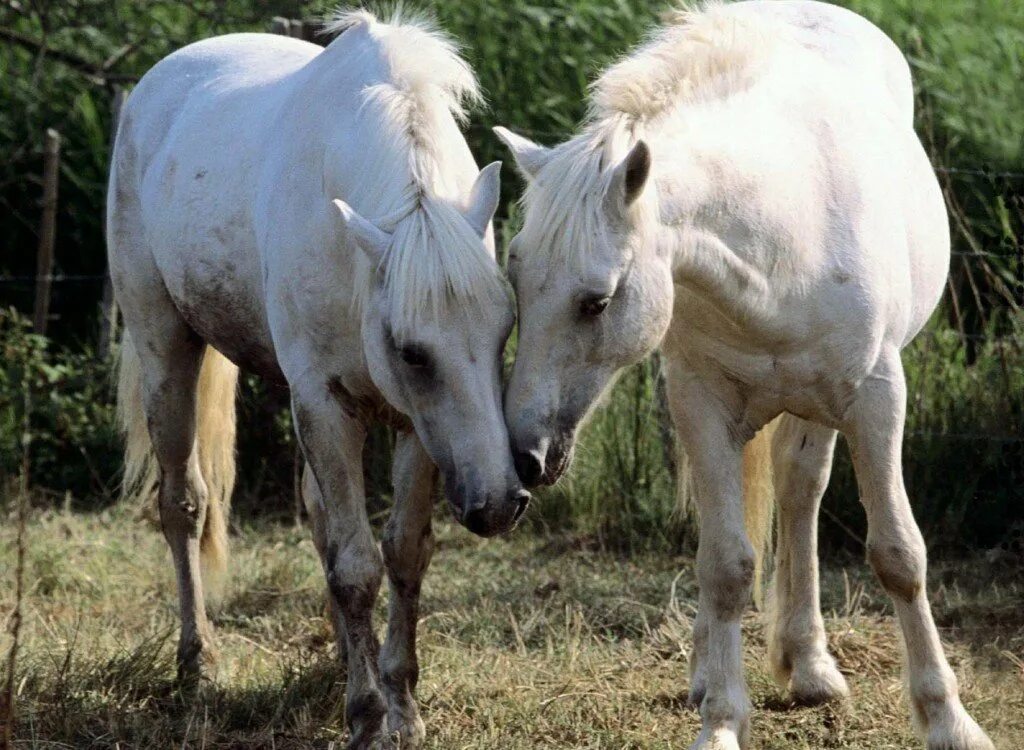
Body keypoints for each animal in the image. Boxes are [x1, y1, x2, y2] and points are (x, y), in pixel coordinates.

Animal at [110, 11, 528, 750]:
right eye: (412, 352)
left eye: (504, 329)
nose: (501, 502)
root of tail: (155, 87)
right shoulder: (328, 405)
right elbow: (356, 566)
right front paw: (367, 716)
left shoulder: (419, 428)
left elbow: (401, 552)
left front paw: (401, 702)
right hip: (166, 347)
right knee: (183, 504)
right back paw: (197, 663)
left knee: (319, 517)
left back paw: (339, 660)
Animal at [495, 1, 991, 750]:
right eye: (516, 284)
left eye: (596, 301)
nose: (526, 455)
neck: (779, 242)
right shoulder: (701, 404)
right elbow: (726, 565)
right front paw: (722, 721)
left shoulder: (878, 400)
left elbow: (899, 555)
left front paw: (948, 720)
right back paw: (725, 669)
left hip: (820, 408)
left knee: (800, 490)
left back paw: (810, 665)